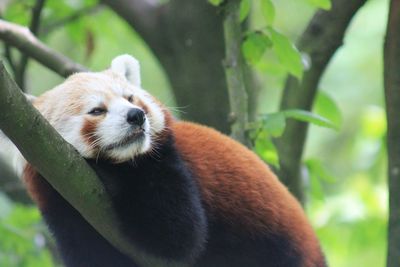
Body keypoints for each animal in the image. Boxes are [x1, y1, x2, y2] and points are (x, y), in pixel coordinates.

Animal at [14, 55, 324, 267]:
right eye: (97, 110)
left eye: (130, 98)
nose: (136, 116)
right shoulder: (64, 214)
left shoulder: (171, 164)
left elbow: (178, 235)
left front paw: (109, 175)